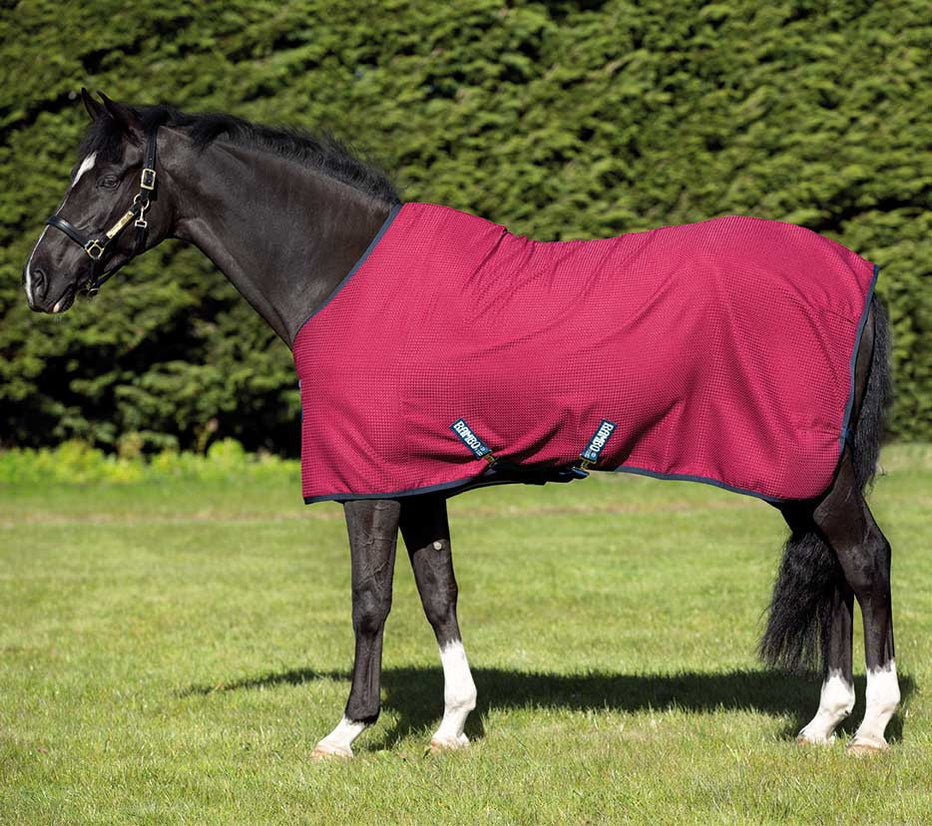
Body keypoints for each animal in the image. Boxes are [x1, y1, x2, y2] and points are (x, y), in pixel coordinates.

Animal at [23, 91, 899, 759]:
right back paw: (822, 723)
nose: (39, 278)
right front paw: (450, 726)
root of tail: (857, 273)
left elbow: (370, 599)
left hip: (813, 473)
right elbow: (438, 593)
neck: (338, 272)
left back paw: (871, 728)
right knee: (829, 573)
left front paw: (348, 730)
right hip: (796, 474)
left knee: (864, 560)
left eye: (111, 176)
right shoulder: (419, 478)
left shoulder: (368, 484)